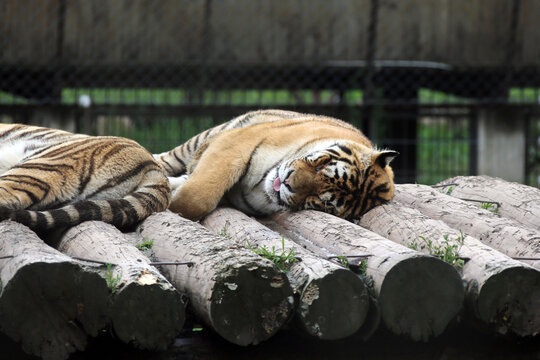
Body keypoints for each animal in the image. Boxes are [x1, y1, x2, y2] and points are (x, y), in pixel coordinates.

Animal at [154, 109, 398, 222]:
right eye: (321, 164)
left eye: (323, 201)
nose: (288, 181)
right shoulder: (236, 143)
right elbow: (198, 195)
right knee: (165, 160)